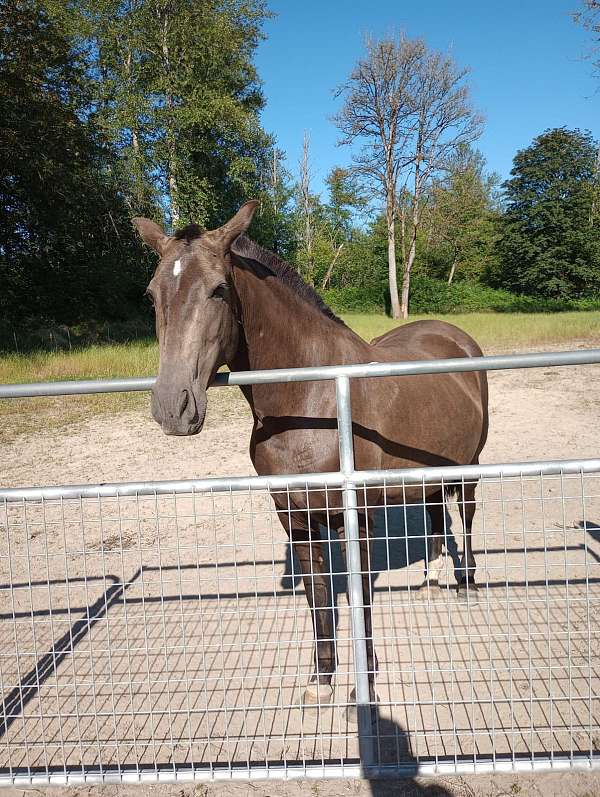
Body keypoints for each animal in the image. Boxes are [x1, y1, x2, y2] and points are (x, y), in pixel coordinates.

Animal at [132, 202, 488, 704]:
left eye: (219, 289)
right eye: (151, 295)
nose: (172, 406)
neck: (311, 400)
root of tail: (455, 336)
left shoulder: (353, 516)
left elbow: (359, 596)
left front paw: (365, 683)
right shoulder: (294, 515)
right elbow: (318, 594)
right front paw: (322, 677)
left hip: (470, 466)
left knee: (468, 517)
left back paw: (468, 585)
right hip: (429, 471)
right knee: (436, 513)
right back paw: (431, 583)